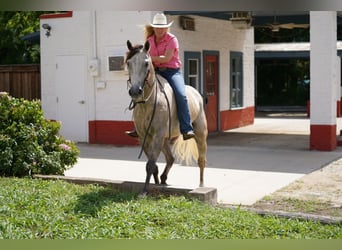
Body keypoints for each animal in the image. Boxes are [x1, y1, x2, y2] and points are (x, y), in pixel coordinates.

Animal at [125, 40, 207, 193]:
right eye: (128, 63)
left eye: (146, 63)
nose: (135, 91)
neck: (148, 102)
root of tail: (196, 94)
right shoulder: (143, 136)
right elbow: (152, 164)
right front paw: (155, 182)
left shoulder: (158, 134)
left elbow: (151, 164)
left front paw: (144, 191)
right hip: (164, 140)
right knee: (170, 158)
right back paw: (163, 179)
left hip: (200, 133)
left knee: (201, 160)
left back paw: (201, 185)